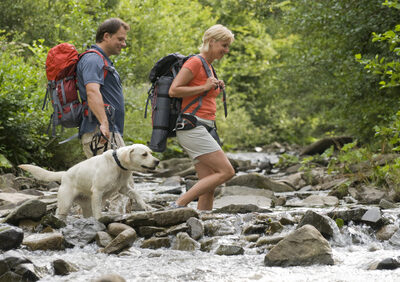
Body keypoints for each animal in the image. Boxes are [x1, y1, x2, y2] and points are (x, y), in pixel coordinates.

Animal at [18, 145, 159, 220]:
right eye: (144, 154)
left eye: (151, 153)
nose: (157, 161)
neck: (117, 165)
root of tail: (65, 174)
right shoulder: (97, 192)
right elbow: (98, 211)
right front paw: (99, 220)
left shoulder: (123, 188)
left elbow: (136, 194)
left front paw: (146, 206)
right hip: (65, 203)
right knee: (61, 213)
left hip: (86, 206)